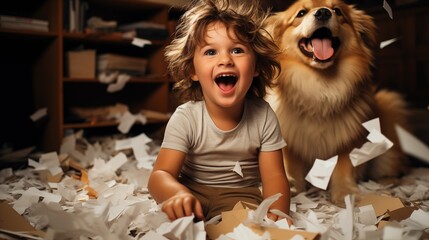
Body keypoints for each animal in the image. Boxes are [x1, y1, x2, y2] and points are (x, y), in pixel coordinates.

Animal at [266, 0, 410, 204]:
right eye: (301, 13)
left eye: (337, 11)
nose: (323, 13)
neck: (319, 88)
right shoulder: (289, 142)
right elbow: (292, 166)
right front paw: (292, 188)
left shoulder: (348, 142)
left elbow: (344, 167)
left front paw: (345, 193)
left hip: (389, 109)